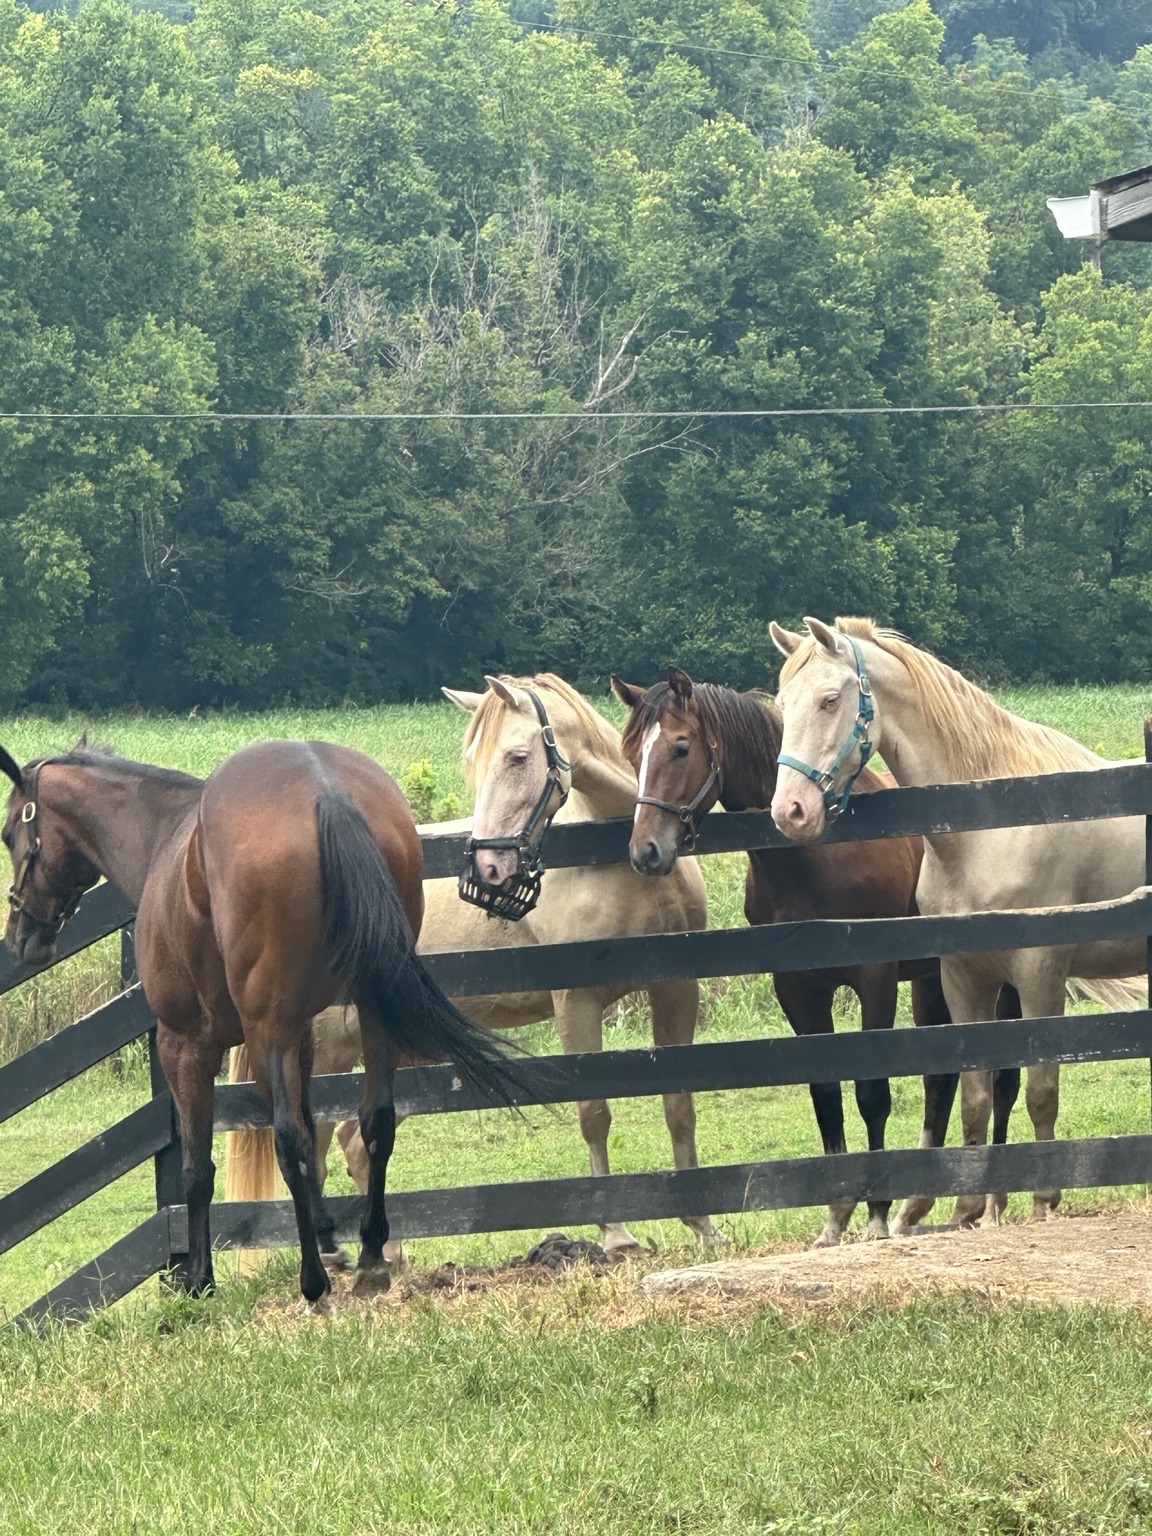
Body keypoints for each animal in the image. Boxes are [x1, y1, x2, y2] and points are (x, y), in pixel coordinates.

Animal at [0, 738, 524, 1304]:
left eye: (8, 834)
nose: (21, 938)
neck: (164, 836)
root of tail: (327, 791)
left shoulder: (186, 1045)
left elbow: (199, 1167)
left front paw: (200, 1279)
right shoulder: (300, 1037)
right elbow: (312, 1130)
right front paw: (327, 1235)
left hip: (266, 1030)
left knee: (288, 1140)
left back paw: (313, 1282)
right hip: (369, 1008)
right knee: (374, 1120)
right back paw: (369, 1257)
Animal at [227, 673, 722, 1255]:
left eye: (516, 757)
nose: (485, 867)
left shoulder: (677, 986)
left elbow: (679, 1102)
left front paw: (703, 1224)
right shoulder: (576, 1002)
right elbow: (594, 1112)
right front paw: (616, 1233)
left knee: (353, 1140)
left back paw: (390, 1256)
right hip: (325, 1054)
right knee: (317, 1147)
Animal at [609, 665, 1009, 1246]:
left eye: (681, 747)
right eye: (630, 751)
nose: (646, 852)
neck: (818, 858)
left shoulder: (874, 978)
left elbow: (871, 1091)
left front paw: (875, 1214)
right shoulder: (797, 988)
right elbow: (826, 1093)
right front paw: (837, 1216)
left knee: (1004, 1075)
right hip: (933, 980)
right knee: (944, 1078)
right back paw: (920, 1204)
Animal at [769, 616, 1144, 1230]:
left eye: (829, 700)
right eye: (781, 704)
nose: (789, 811)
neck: (990, 821)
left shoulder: (1040, 973)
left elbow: (1040, 1088)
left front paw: (1043, 1199)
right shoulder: (963, 976)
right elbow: (975, 1093)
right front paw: (968, 1207)